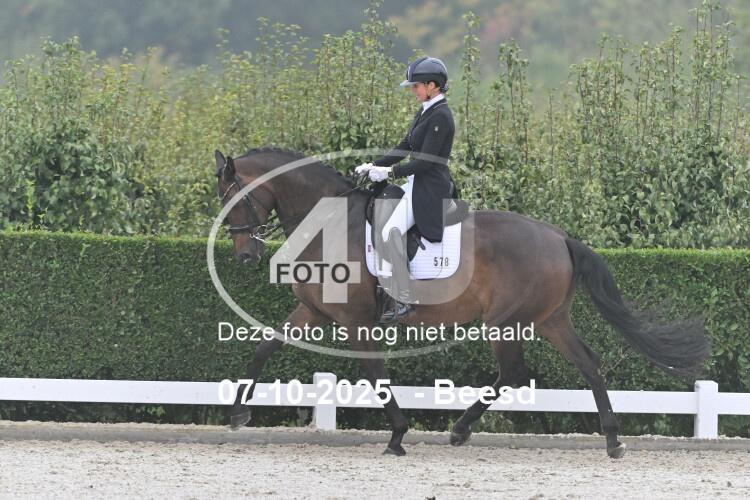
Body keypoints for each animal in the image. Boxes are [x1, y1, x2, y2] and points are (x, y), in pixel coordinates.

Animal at [213, 146, 711, 458]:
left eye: (234, 200)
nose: (245, 255)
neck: (329, 224)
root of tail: (559, 237)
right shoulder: (314, 312)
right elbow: (265, 347)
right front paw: (238, 411)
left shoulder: (356, 321)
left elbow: (374, 375)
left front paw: (397, 435)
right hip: (550, 318)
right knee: (587, 363)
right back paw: (612, 441)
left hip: (505, 322)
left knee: (513, 372)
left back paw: (460, 429)